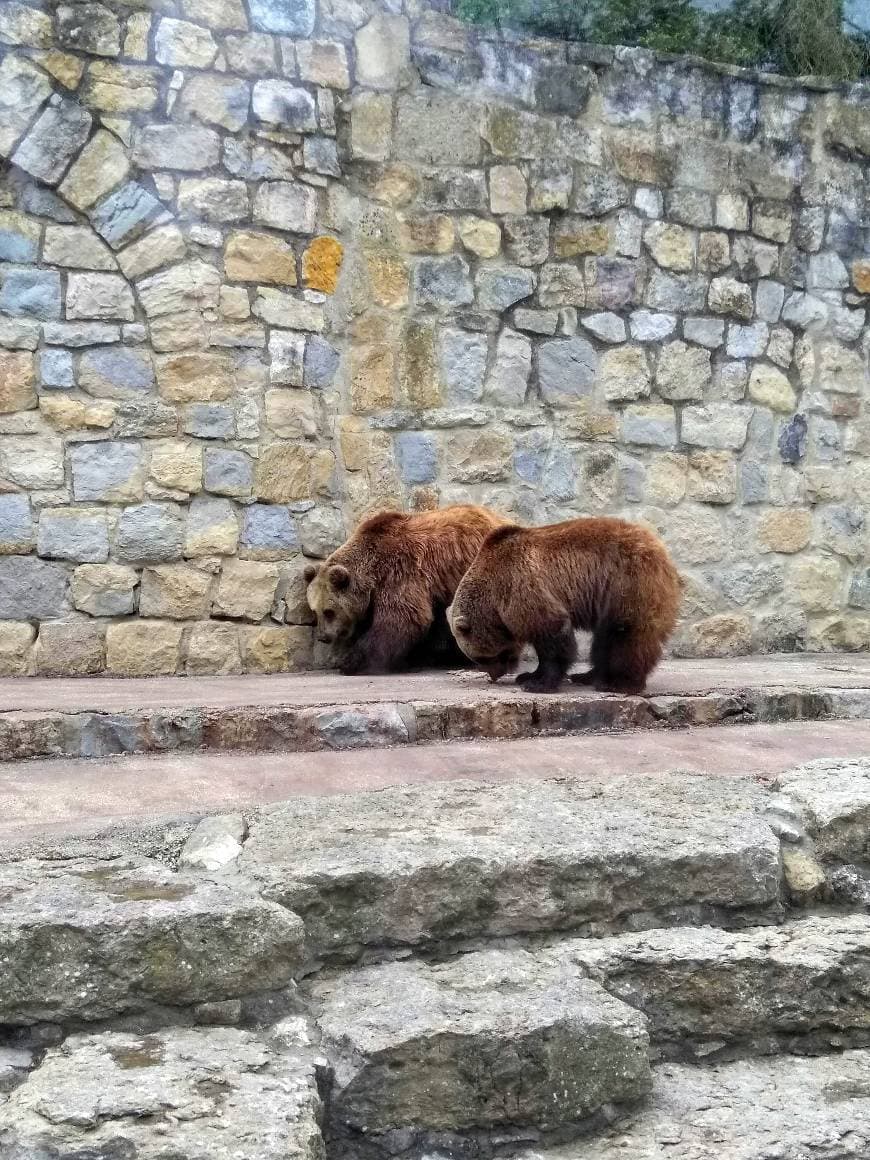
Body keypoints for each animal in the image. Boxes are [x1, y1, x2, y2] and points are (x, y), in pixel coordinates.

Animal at [306, 503, 508, 677]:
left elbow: (401, 618)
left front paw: (351, 663)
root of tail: (502, 518)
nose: (323, 637)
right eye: (315, 611)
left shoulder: (399, 571)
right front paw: (419, 658)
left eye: (329, 612)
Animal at [452, 519, 686, 696]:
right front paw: (528, 676)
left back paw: (618, 683)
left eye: (480, 657)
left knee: (626, 635)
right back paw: (587, 676)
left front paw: (539, 683)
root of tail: (662, 551)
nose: (494, 675)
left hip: (627, 584)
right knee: (603, 639)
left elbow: (552, 632)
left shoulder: (520, 586)